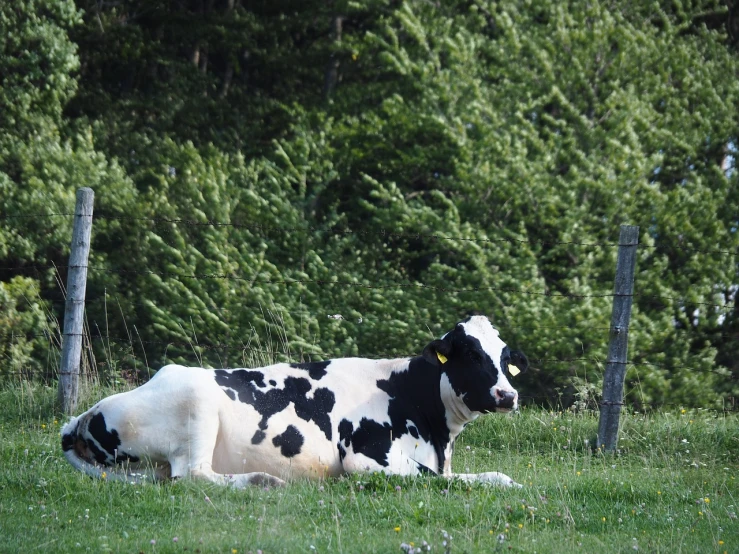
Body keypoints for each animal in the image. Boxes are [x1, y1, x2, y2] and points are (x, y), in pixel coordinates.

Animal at [62, 314, 528, 488]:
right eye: (471, 354)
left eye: (506, 358)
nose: (508, 394)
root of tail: (82, 417)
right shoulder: (366, 458)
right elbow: (444, 479)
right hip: (197, 407)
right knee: (192, 476)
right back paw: (261, 481)